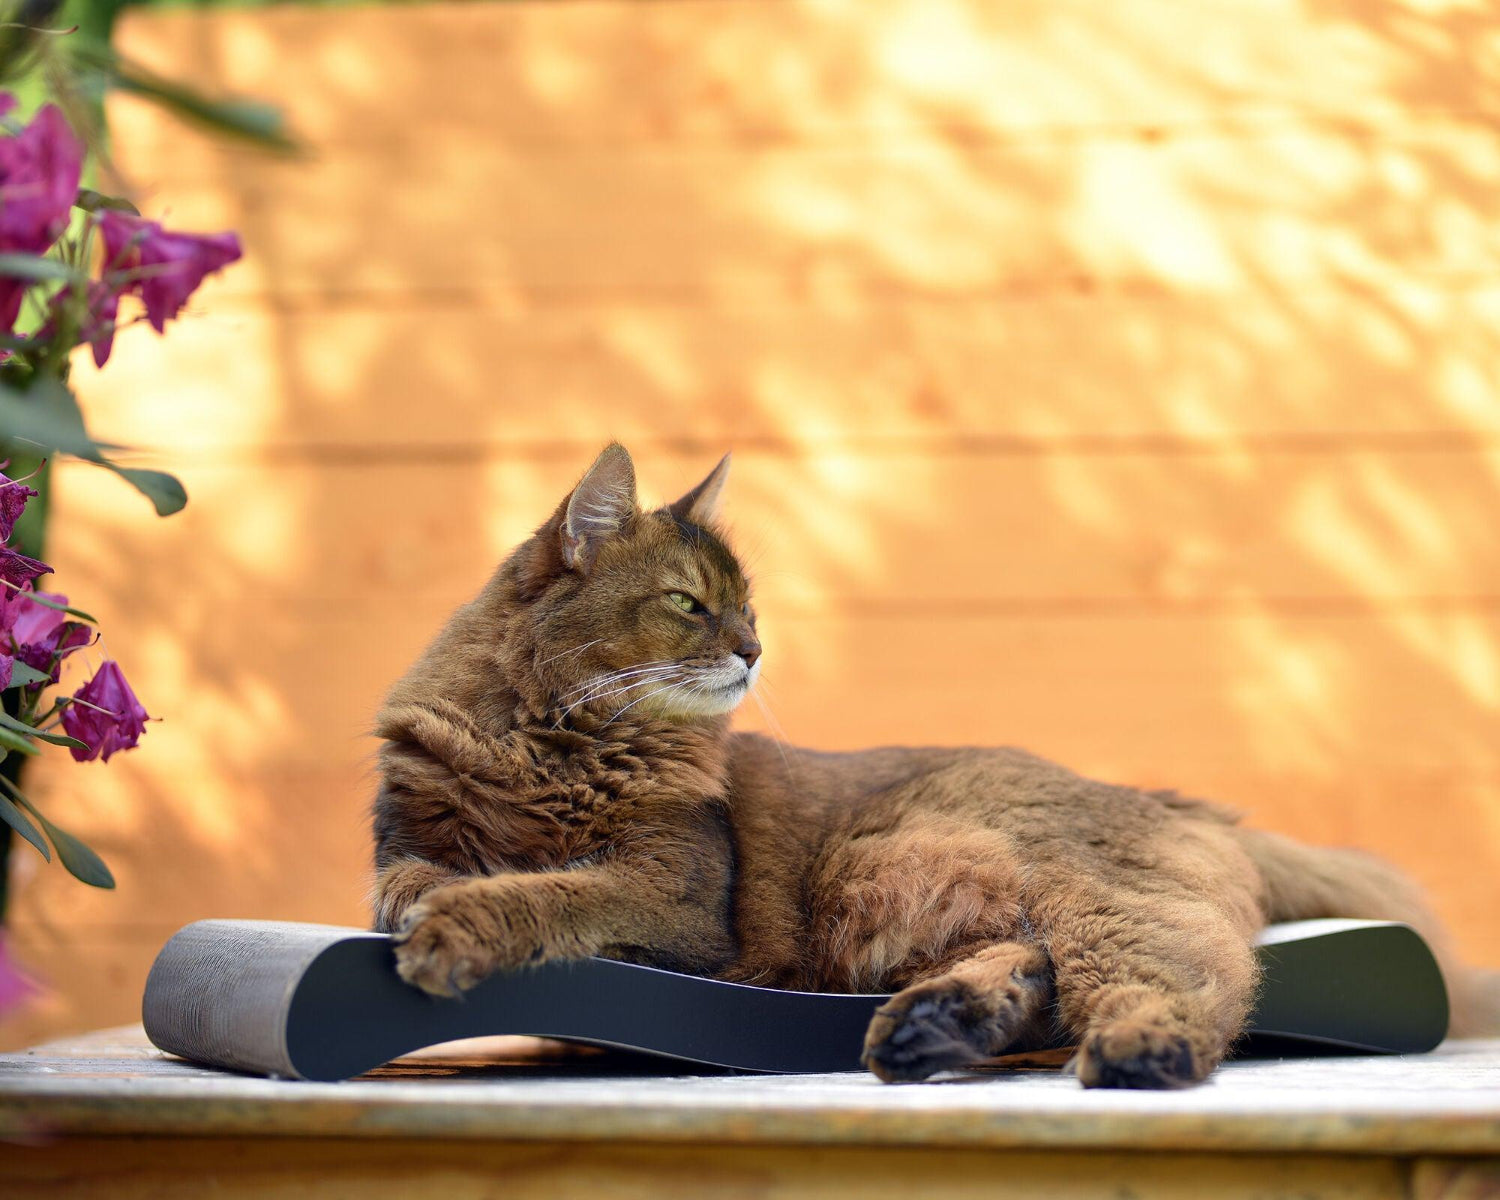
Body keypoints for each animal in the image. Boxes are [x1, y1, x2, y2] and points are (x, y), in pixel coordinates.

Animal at [369, 441, 1494, 1086]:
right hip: (899, 898)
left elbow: (553, 891)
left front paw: (458, 929)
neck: (552, 743)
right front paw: (428, 896)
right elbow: (415, 870)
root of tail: (1181, 804)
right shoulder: (403, 828)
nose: (754, 651)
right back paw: (939, 1027)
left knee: (1192, 974)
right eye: (690, 602)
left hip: (978, 868)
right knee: (1035, 962)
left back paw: (1139, 1048)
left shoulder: (678, 899)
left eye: (749, 609)